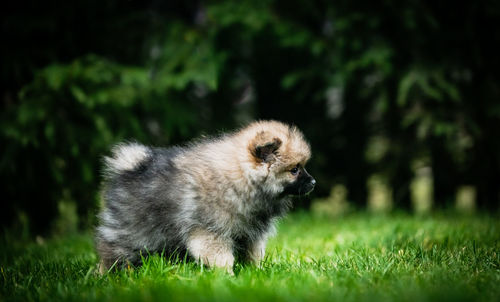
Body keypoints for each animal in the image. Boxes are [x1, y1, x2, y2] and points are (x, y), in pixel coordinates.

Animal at [95, 121, 314, 274]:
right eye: (294, 170)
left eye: (302, 166)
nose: (313, 182)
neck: (241, 179)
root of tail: (129, 167)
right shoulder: (210, 231)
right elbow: (222, 257)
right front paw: (227, 276)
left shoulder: (251, 233)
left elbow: (254, 255)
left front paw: (256, 272)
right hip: (130, 234)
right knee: (111, 253)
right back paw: (104, 275)